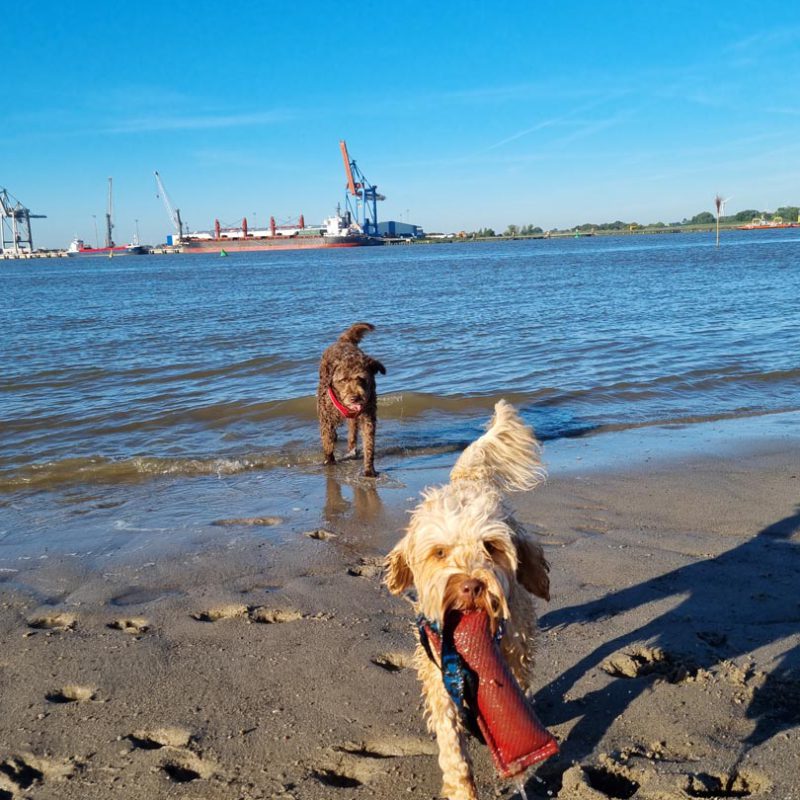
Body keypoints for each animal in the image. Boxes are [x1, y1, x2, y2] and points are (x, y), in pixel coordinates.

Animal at [386, 400, 552, 800]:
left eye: (490, 546)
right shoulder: (437, 675)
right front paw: (462, 787)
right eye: (439, 552)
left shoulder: (515, 652)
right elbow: (451, 743)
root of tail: (468, 483)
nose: (471, 586)